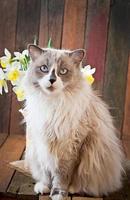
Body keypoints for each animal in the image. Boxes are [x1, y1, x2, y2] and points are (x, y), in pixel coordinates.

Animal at [22, 44, 124, 199]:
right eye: (44, 68)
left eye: (63, 71)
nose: (52, 80)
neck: (52, 104)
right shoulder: (42, 142)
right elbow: (46, 172)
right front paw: (45, 187)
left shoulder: (69, 146)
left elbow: (62, 176)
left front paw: (58, 194)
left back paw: (72, 189)